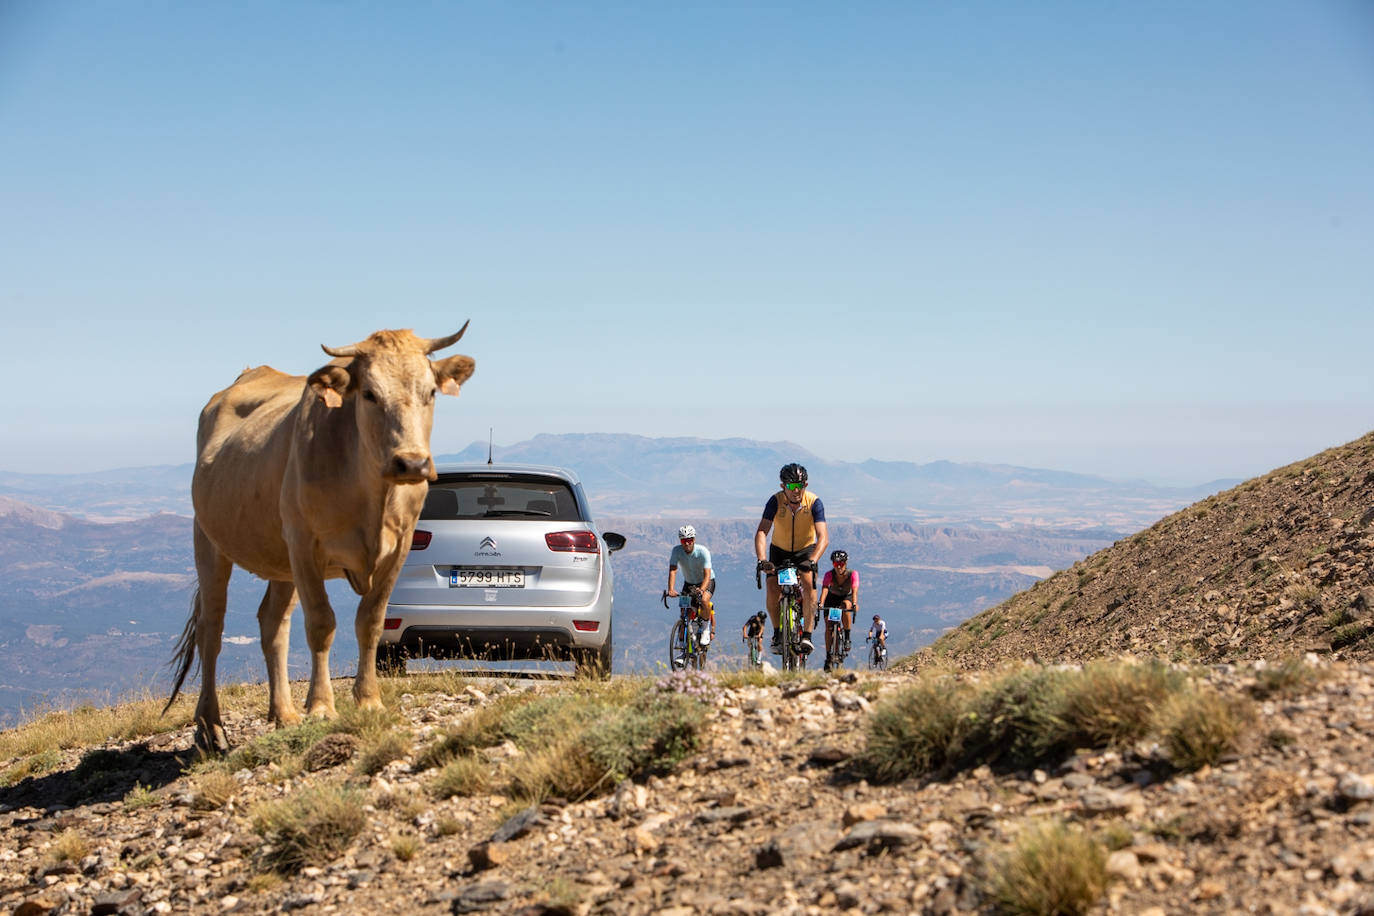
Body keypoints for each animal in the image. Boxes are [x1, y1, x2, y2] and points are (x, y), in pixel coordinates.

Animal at [163, 324, 475, 752]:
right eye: (369, 393)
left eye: (430, 392)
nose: (411, 462)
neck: (372, 497)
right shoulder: (305, 545)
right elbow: (322, 624)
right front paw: (322, 707)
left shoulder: (400, 548)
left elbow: (370, 622)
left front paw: (368, 701)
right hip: (210, 540)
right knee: (212, 627)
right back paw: (211, 727)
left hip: (280, 560)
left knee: (272, 624)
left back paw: (284, 713)